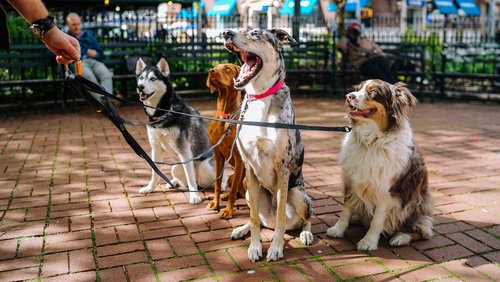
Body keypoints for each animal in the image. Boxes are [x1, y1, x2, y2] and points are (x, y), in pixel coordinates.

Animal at [137, 57, 215, 205]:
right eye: (141, 78)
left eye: (153, 79)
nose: (140, 87)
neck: (163, 112)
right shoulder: (156, 147)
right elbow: (155, 171)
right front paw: (150, 188)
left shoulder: (184, 149)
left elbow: (190, 176)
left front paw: (194, 196)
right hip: (175, 167)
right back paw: (173, 182)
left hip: (205, 167)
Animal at [207, 63, 246, 218]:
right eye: (215, 67)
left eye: (227, 68)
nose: (211, 71)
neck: (226, 116)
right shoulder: (218, 155)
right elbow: (217, 184)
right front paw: (215, 203)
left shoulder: (239, 158)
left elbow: (234, 190)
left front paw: (228, 210)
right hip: (230, 177)